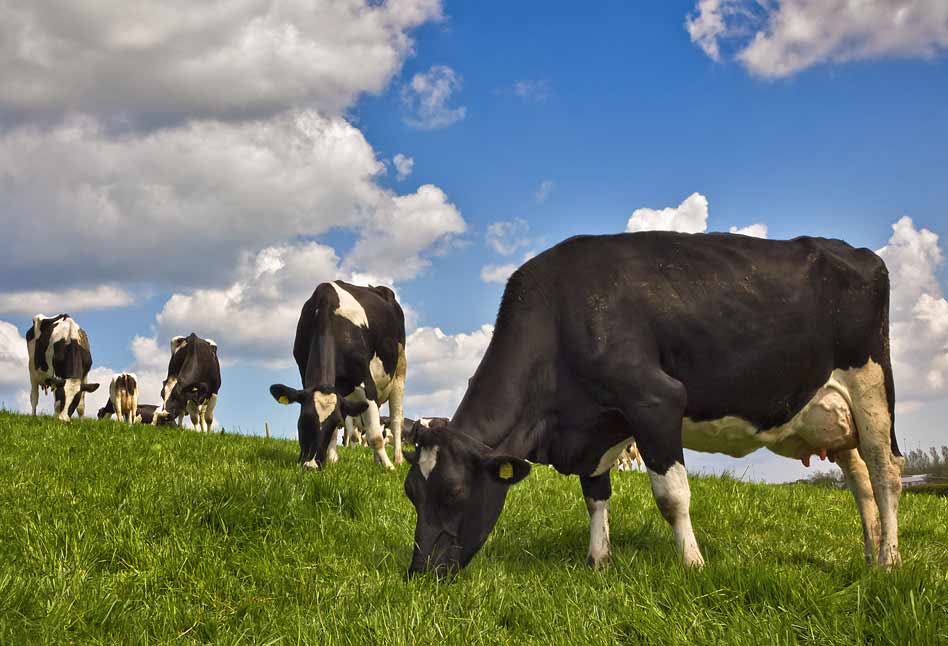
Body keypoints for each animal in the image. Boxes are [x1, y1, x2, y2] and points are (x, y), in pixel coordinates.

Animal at [269, 280, 408, 470]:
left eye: (335, 422)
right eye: (304, 419)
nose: (311, 465)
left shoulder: (366, 384)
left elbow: (375, 436)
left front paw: (389, 468)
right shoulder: (306, 376)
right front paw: (332, 458)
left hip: (400, 368)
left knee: (395, 419)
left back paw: (397, 459)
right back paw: (376, 461)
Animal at [404, 231, 904, 578]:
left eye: (454, 493)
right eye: (411, 492)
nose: (420, 573)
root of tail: (857, 251)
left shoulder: (655, 400)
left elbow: (672, 496)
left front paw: (693, 564)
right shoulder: (598, 422)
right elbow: (595, 495)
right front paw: (598, 561)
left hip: (873, 387)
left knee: (885, 474)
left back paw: (889, 562)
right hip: (833, 417)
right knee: (859, 481)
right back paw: (869, 553)